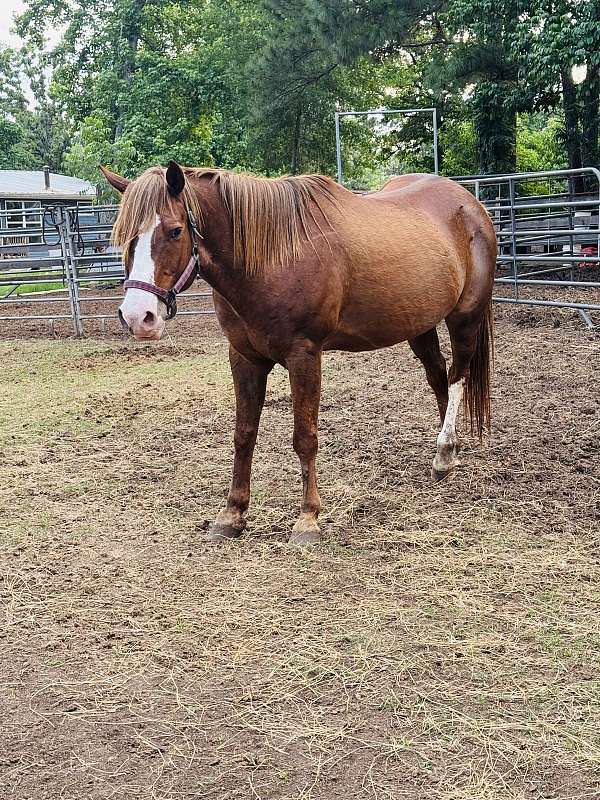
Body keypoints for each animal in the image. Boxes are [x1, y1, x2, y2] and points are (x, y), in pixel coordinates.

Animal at [100, 161, 496, 545]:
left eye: (175, 231)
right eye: (124, 236)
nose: (137, 317)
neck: (271, 257)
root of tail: (470, 204)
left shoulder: (304, 356)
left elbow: (305, 438)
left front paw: (308, 520)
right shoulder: (244, 358)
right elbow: (244, 434)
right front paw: (232, 515)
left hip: (464, 318)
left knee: (458, 377)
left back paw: (444, 453)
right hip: (419, 324)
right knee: (438, 376)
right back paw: (449, 451)